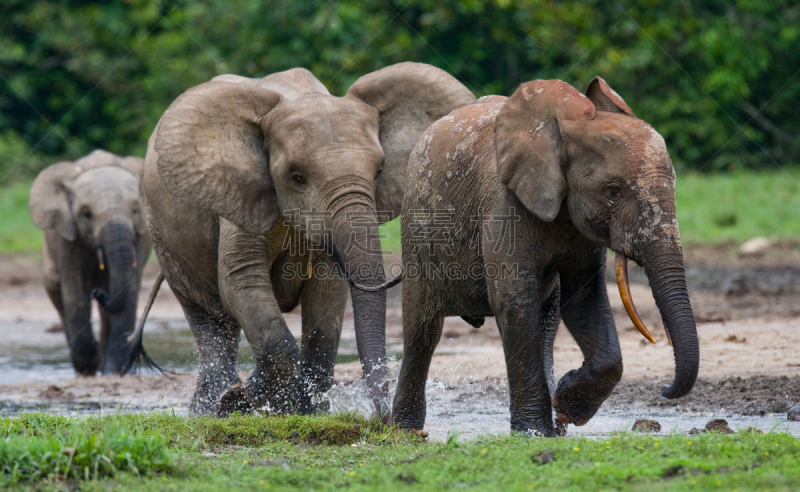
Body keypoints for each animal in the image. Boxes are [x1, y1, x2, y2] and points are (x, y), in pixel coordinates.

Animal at [29, 150, 153, 376]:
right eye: (86, 215)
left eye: (135, 211)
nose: (96, 293)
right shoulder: (67, 235)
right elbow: (75, 294)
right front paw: (89, 365)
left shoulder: (140, 236)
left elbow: (129, 294)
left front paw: (113, 371)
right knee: (59, 299)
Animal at [143, 60, 476, 416]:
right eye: (297, 178)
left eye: (379, 172)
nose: (383, 416)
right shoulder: (240, 193)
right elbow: (241, 279)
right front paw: (271, 403)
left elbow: (327, 294)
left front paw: (307, 409)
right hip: (161, 231)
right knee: (208, 315)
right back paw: (217, 405)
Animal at [394, 79, 700, 436]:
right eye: (613, 191)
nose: (665, 389)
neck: (566, 127)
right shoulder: (504, 205)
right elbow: (515, 302)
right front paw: (533, 432)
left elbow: (583, 299)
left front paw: (565, 407)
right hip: (415, 226)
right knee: (423, 329)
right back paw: (404, 429)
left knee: (547, 320)